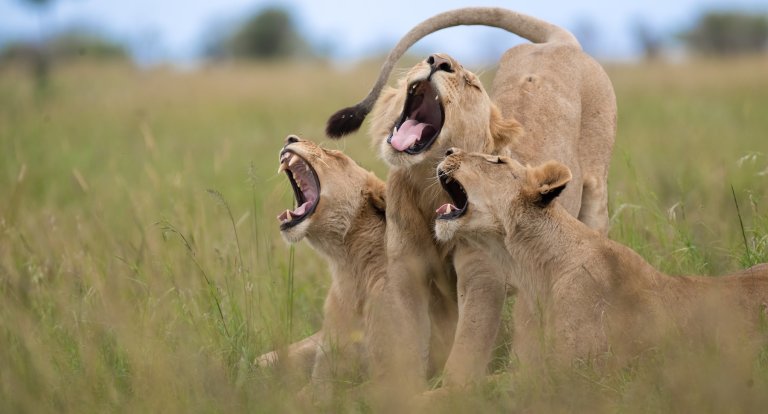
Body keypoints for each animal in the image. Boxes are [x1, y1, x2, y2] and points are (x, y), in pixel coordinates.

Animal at [323, 7, 616, 389]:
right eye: (430, 59)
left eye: (472, 84)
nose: (437, 60)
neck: (429, 187)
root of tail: (558, 45)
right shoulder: (406, 272)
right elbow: (405, 342)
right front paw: (399, 389)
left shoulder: (482, 276)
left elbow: (467, 350)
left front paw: (452, 392)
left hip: (596, 193)